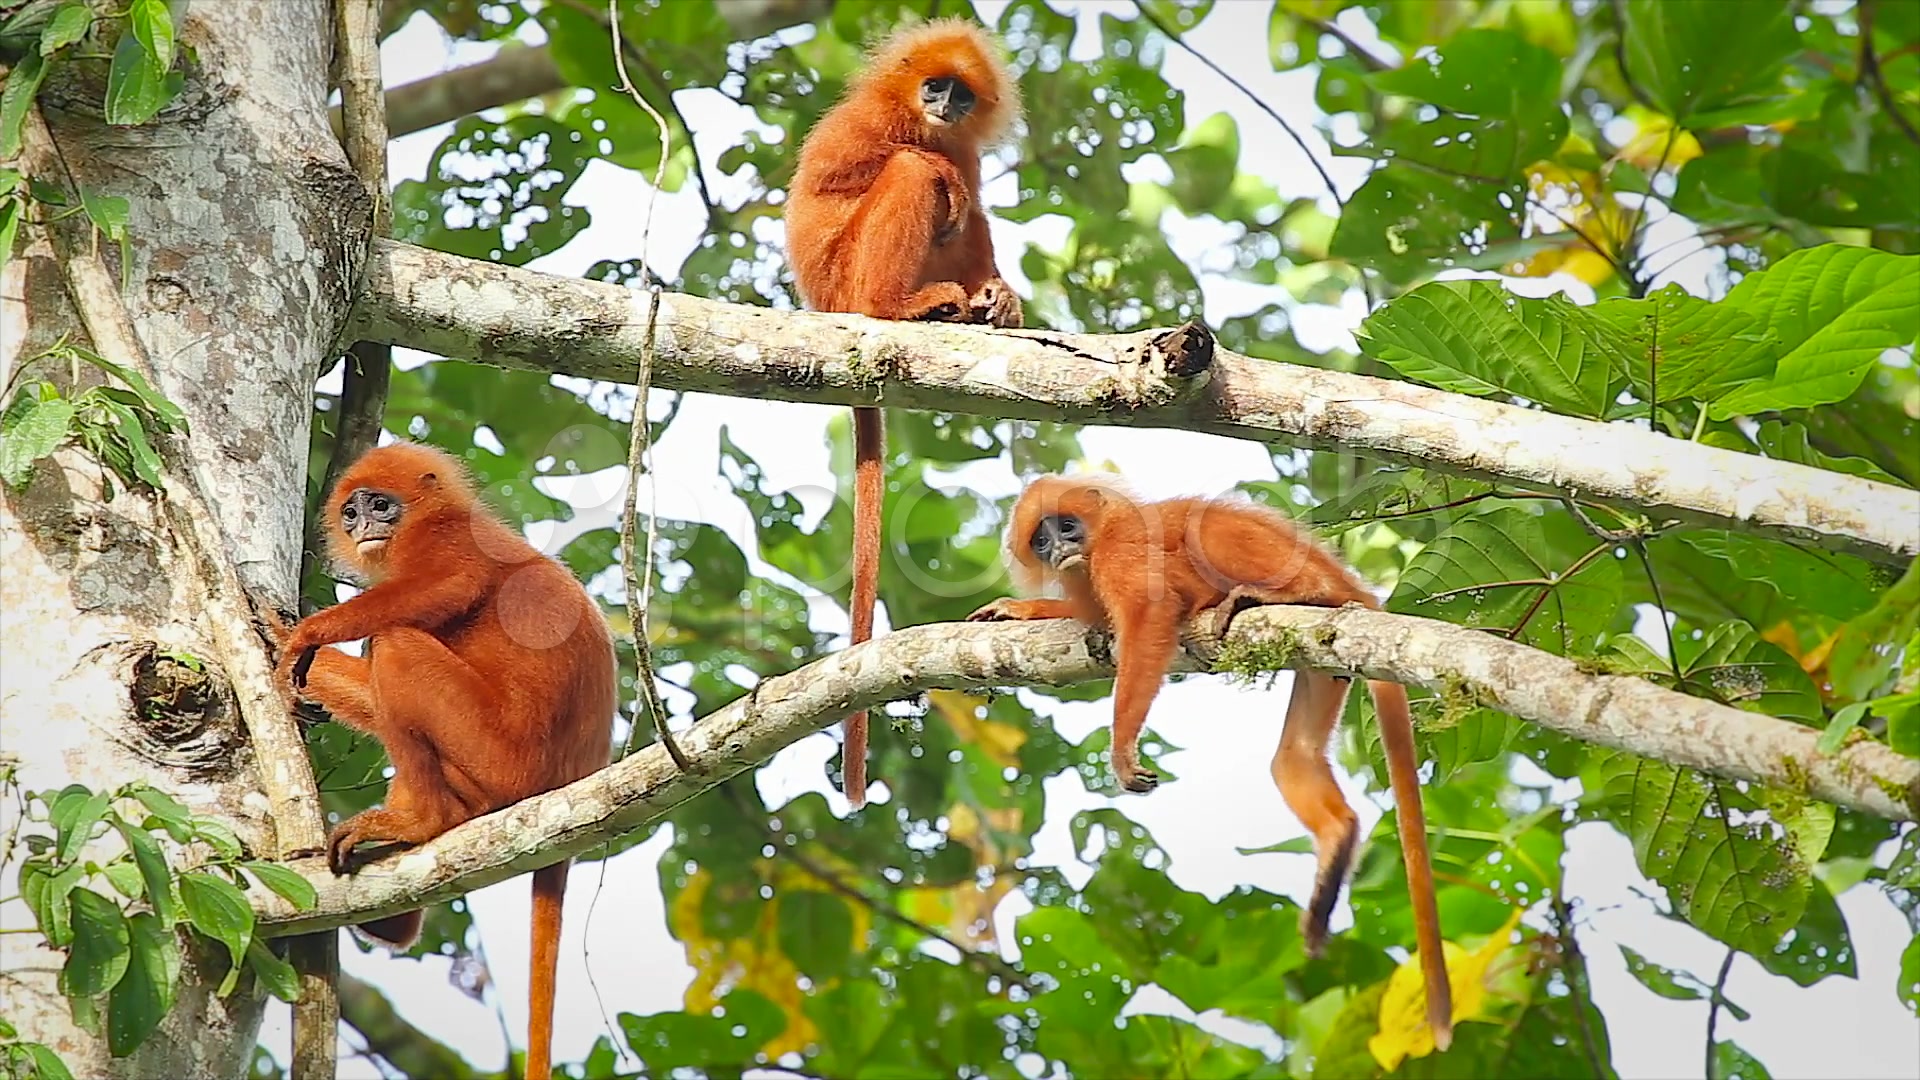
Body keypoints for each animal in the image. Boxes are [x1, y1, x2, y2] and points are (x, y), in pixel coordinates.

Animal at [275, 442, 615, 1080]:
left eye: (382, 505)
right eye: (351, 511)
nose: (363, 525)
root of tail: (567, 782)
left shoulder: (450, 545)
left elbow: (446, 586)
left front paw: (308, 631)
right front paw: (272, 629)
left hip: (498, 761)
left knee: (396, 642)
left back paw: (421, 821)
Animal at [785, 17, 1024, 808]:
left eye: (962, 93)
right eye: (934, 85)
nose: (944, 107)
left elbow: (965, 183)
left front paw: (1000, 298)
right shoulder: (865, 124)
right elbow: (859, 172)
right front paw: (929, 163)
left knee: (965, 214)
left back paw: (982, 306)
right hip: (848, 275)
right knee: (918, 180)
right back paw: (900, 304)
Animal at [966, 473, 1454, 1050]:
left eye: (1066, 527)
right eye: (1042, 542)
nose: (1061, 550)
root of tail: (1353, 590)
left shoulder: (1118, 551)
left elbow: (1148, 615)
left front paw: (1122, 749)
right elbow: (1095, 619)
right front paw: (1018, 610)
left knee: (1212, 530)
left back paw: (1295, 591)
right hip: (1324, 662)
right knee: (1293, 757)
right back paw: (1337, 840)